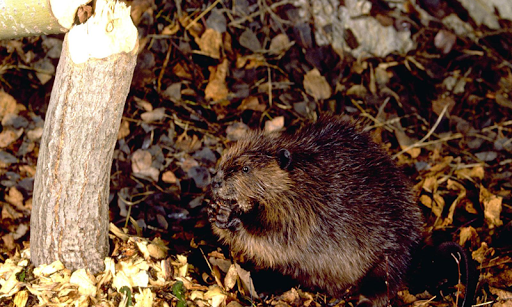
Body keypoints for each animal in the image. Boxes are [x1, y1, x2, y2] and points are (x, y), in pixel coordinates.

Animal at [206, 116, 422, 307]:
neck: (302, 178)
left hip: (391, 253)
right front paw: (216, 210)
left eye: (246, 168)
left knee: (383, 283)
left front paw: (233, 217)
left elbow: (277, 238)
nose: (216, 181)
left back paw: (359, 301)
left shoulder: (302, 209)